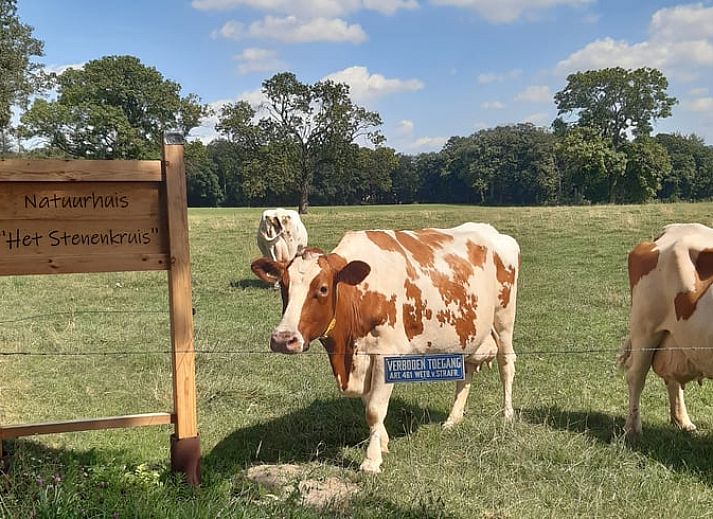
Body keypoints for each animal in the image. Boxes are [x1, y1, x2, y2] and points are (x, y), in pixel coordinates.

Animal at [251, 223, 520, 473]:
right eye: (283, 286)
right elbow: (368, 403)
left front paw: (371, 460)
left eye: (323, 288)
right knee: (466, 372)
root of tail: (493, 231)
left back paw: (507, 414)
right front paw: (382, 442)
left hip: (503, 320)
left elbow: (374, 409)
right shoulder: (361, 359)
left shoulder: (385, 355)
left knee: (506, 364)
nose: (283, 339)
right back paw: (453, 419)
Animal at [621, 223, 713, 438]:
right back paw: (632, 429)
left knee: (672, 378)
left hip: (675, 336)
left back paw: (683, 422)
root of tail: (671, 229)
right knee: (636, 374)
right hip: (645, 329)